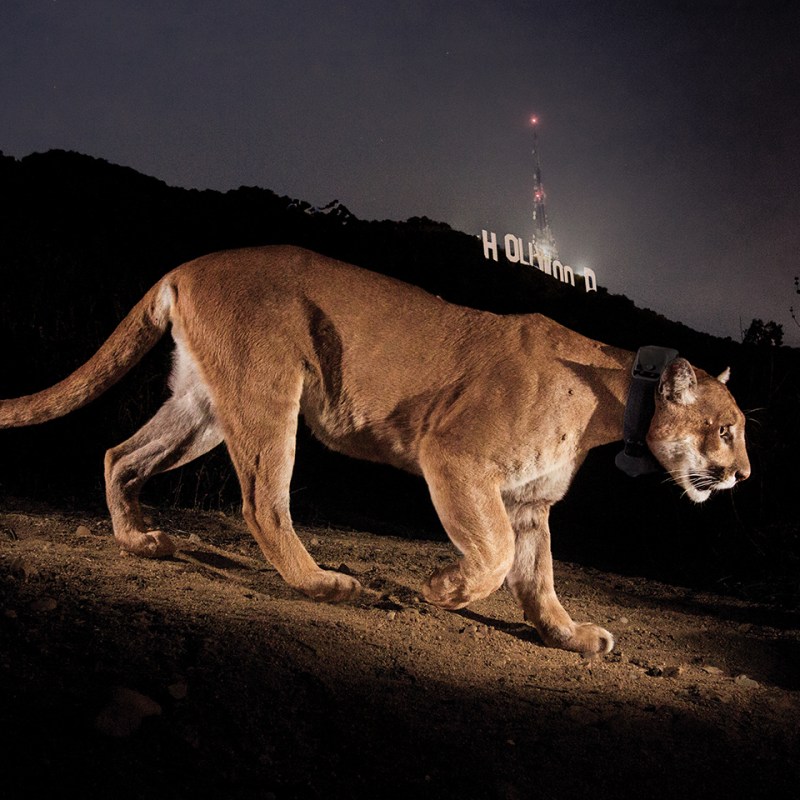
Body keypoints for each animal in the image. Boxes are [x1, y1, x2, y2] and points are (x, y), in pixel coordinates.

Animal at [0, 246, 750, 655]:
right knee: (262, 502)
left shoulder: (530, 501)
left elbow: (538, 579)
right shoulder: (455, 456)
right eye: (727, 429)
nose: (743, 474)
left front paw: (571, 636)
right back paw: (328, 585)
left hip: (202, 406)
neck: (611, 398)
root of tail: (189, 263)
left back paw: (141, 541)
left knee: (119, 456)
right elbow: (497, 554)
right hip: (268, 392)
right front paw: (443, 589)